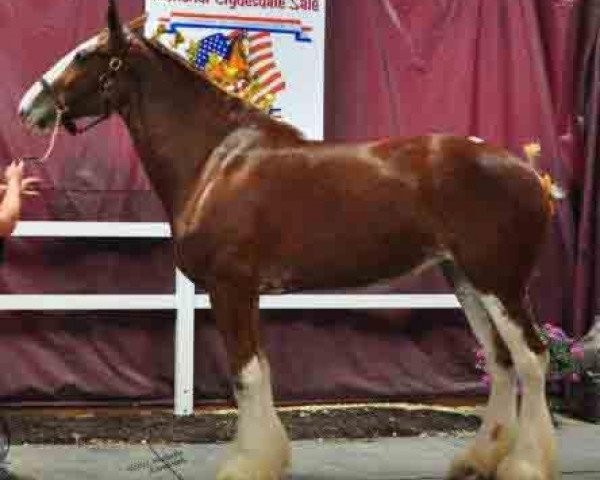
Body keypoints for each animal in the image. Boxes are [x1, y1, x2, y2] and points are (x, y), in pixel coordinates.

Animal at [18, 1, 564, 478]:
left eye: (84, 55)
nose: (28, 106)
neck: (217, 161)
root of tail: (528, 172)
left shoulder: (231, 287)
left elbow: (245, 375)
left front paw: (246, 465)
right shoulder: (246, 292)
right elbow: (258, 371)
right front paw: (265, 457)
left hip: (499, 281)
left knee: (532, 358)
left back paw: (524, 465)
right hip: (465, 279)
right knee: (501, 361)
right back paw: (477, 461)